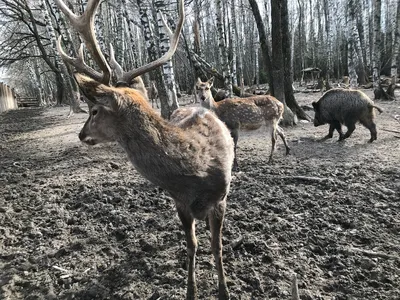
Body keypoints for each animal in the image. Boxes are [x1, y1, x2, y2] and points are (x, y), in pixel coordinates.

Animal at [54, 0, 233, 300]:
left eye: (94, 110)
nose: (81, 134)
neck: (195, 170)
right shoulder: (179, 203)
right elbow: (192, 245)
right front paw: (190, 290)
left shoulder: (219, 200)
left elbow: (216, 246)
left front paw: (224, 290)